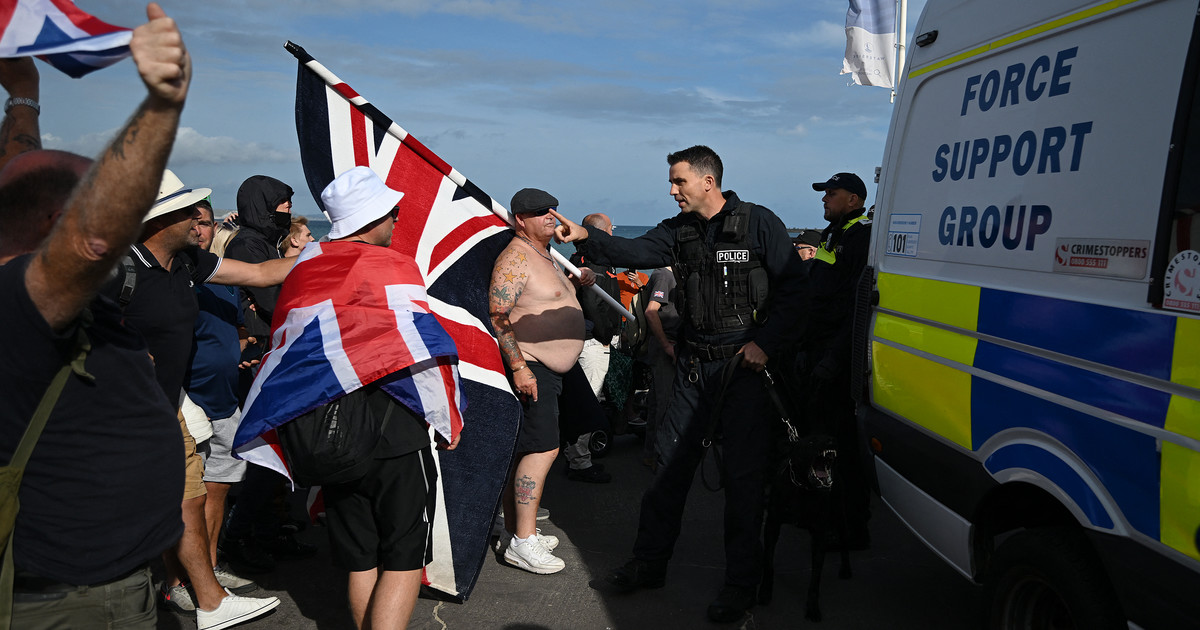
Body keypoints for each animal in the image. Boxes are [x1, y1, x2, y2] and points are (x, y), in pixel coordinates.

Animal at [758, 372, 854, 619]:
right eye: (810, 442)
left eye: (828, 437)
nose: (832, 441)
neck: (802, 487)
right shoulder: (772, 525)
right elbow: (768, 562)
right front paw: (765, 593)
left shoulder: (819, 534)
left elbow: (815, 576)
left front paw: (812, 607)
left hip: (840, 515)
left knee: (845, 542)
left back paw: (846, 569)